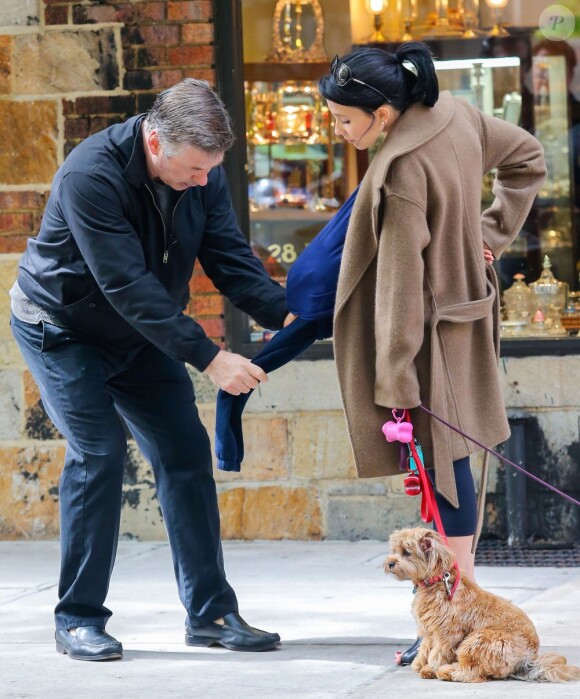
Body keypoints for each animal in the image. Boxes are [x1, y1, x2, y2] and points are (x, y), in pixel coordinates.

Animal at [386, 532, 580, 684]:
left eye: (406, 553)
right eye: (394, 551)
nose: (389, 563)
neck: (437, 581)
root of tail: (526, 659)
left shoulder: (446, 634)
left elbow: (437, 653)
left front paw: (429, 668)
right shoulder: (429, 631)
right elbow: (425, 648)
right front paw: (419, 663)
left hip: (479, 639)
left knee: (472, 672)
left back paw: (447, 671)